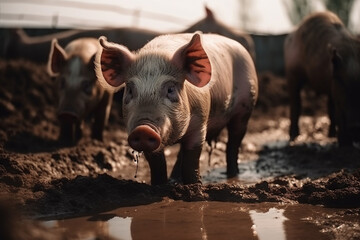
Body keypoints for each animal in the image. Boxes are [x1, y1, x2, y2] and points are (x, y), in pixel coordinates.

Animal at [95, 31, 258, 185]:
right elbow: (158, 165)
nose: (143, 128)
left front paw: (195, 186)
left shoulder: (200, 124)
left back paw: (232, 175)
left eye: (170, 89)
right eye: (129, 90)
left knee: (233, 143)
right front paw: (160, 184)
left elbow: (191, 162)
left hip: (246, 108)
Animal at [284, 11, 360, 146]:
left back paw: (331, 135)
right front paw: (344, 144)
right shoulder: (338, 92)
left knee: (329, 106)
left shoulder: (333, 86)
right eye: (342, 81)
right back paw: (294, 138)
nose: (356, 127)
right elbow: (339, 113)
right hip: (291, 73)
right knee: (295, 103)